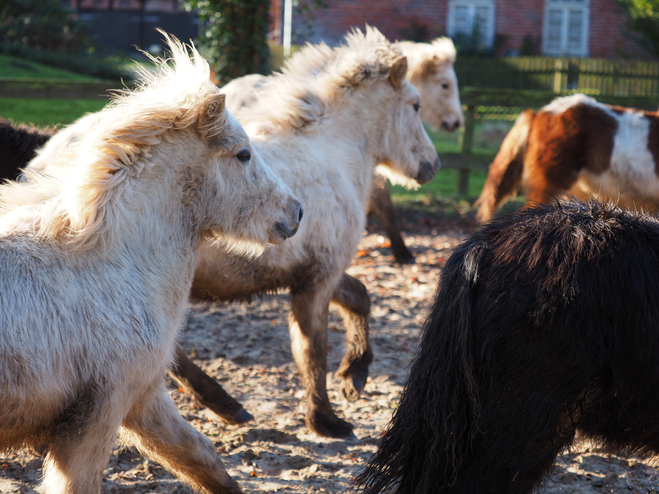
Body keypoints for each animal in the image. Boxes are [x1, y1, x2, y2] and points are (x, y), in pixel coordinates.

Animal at [0, 32, 302, 492]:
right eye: (243, 154)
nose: (296, 212)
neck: (113, 264)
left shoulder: (144, 399)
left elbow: (203, 458)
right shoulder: (99, 413)